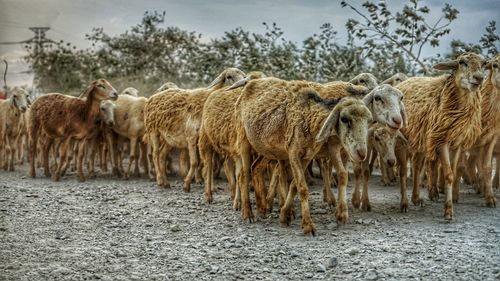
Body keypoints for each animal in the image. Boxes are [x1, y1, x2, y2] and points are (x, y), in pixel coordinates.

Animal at [234, 76, 372, 234]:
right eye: (344, 119)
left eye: (368, 120)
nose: (362, 153)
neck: (310, 118)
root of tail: (253, 81)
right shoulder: (294, 152)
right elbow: (302, 187)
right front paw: (308, 225)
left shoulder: (309, 155)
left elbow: (297, 184)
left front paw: (285, 215)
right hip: (244, 138)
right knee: (243, 175)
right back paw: (248, 213)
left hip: (265, 147)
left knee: (256, 168)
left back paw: (262, 208)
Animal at [394, 52, 484, 219]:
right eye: (462, 62)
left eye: (483, 64)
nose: (479, 78)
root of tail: (403, 83)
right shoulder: (441, 140)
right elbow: (448, 174)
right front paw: (448, 210)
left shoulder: (456, 143)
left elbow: (453, 173)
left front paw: (449, 205)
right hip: (400, 139)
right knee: (403, 171)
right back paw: (404, 204)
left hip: (421, 139)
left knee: (417, 165)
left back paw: (416, 198)